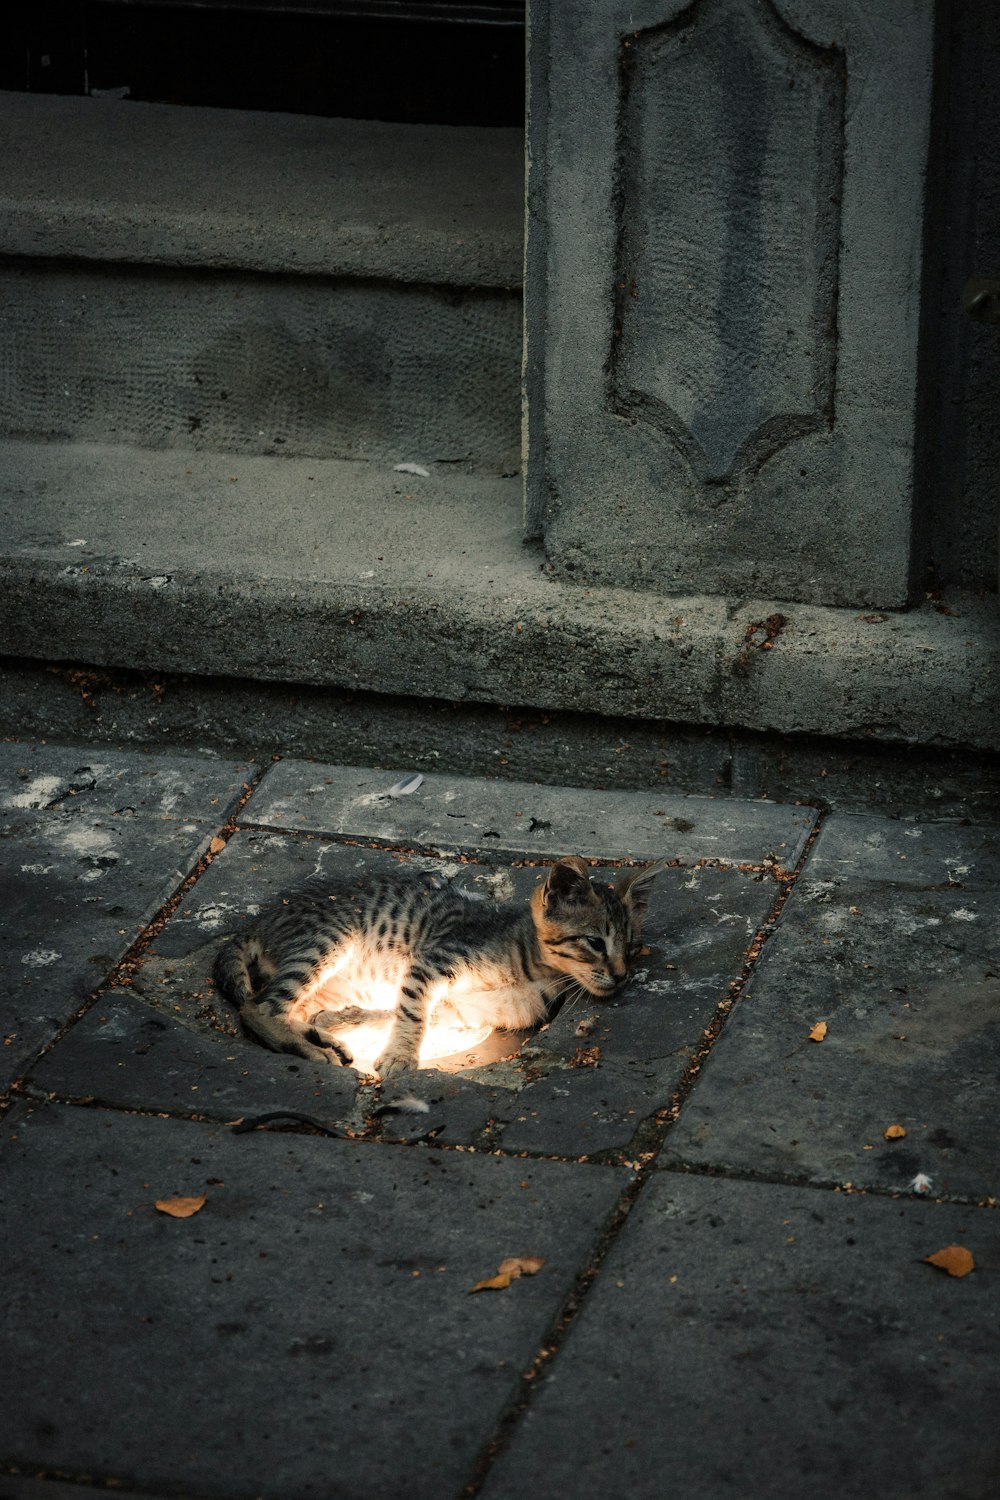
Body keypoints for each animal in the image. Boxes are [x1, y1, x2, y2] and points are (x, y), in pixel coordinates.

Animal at [215, 858, 659, 1080]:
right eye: (595, 942)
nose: (621, 975)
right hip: (328, 941)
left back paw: (323, 1035)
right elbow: (411, 1013)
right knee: (258, 1006)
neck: (531, 970)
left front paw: (350, 1023)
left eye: (632, 947)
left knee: (289, 1007)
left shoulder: (464, 1011)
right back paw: (310, 1048)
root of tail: (259, 921)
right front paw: (399, 1056)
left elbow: (394, 1012)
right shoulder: (432, 961)